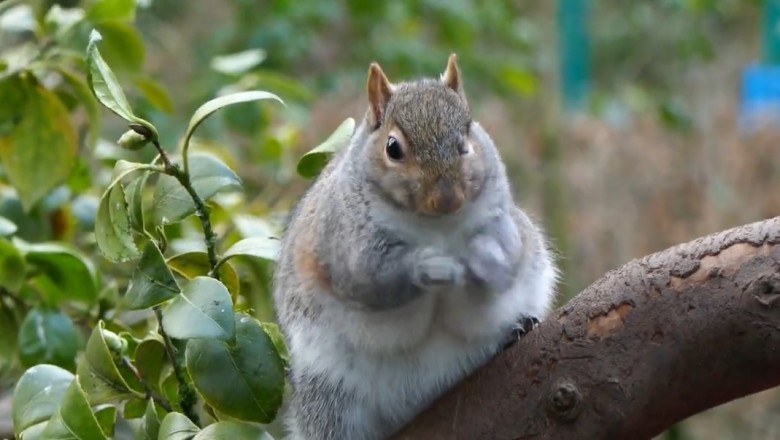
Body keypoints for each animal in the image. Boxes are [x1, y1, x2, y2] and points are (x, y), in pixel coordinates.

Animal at [273, 54, 558, 440]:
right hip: (331, 399)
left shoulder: (503, 224)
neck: (436, 227)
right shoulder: (345, 243)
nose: (448, 198)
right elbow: (374, 280)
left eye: (466, 140)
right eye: (393, 148)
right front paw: (432, 266)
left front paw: (482, 261)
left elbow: (508, 262)